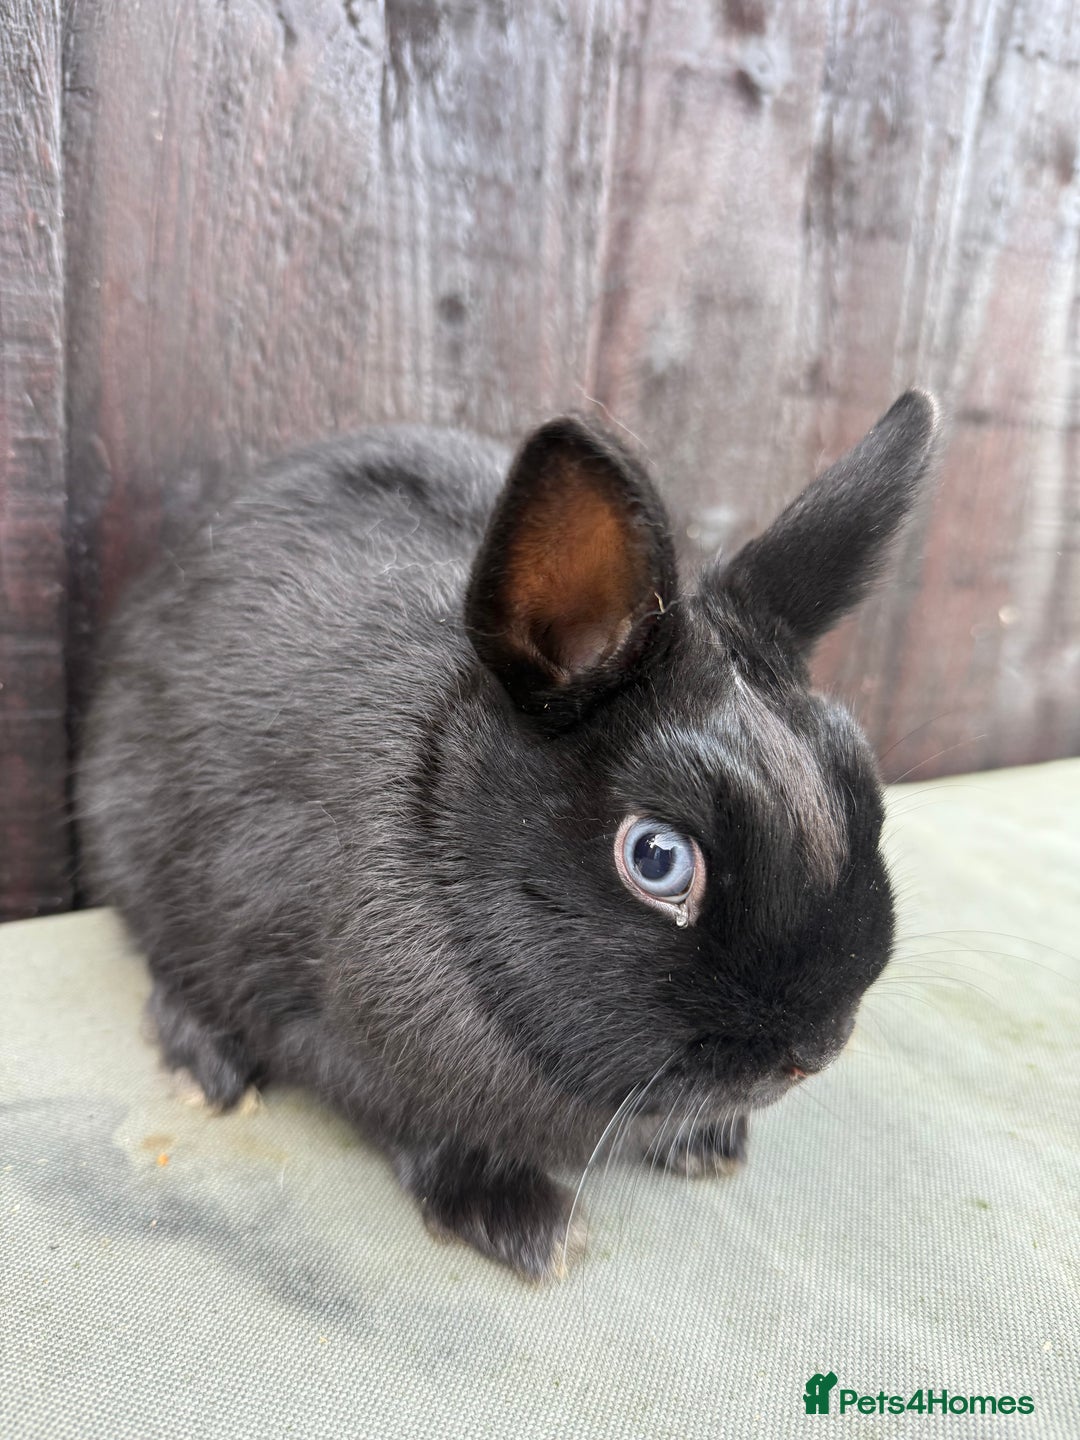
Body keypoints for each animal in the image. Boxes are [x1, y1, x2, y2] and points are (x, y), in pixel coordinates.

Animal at [76, 391, 940, 1280]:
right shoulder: (328, 1028)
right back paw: (208, 1067)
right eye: (656, 859)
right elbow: (418, 1125)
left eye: (860, 789)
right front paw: (528, 1227)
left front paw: (707, 1144)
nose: (813, 1051)